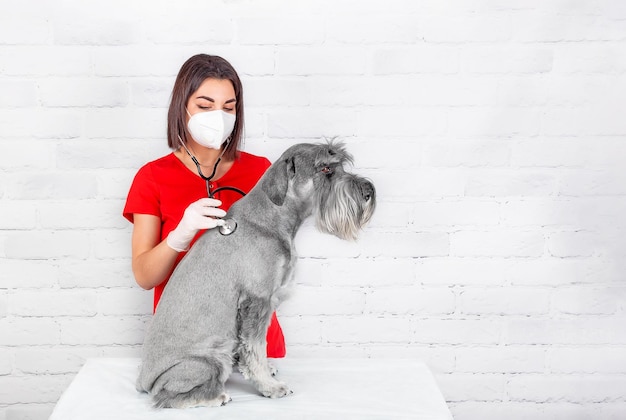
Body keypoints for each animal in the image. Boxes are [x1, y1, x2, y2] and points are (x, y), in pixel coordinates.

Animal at [136, 140, 372, 406]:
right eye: (324, 169)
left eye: (340, 165)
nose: (368, 192)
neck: (273, 217)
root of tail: (143, 381)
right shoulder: (256, 301)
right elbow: (255, 348)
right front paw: (270, 386)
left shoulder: (266, 304)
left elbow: (258, 346)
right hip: (210, 359)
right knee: (166, 397)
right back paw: (215, 396)